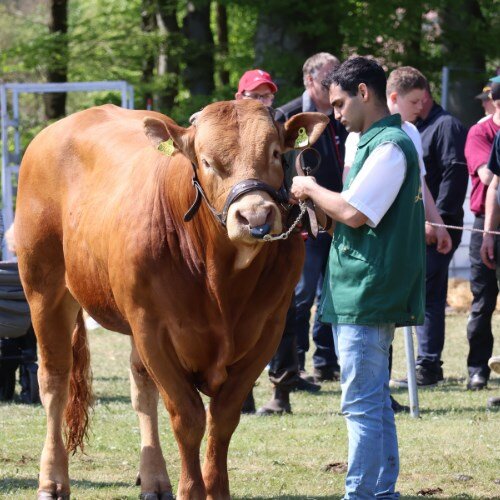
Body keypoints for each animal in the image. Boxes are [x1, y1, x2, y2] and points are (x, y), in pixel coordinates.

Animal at [15, 99, 328, 498]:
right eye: (207, 161)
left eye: (275, 153)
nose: (255, 216)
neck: (221, 282)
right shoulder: (154, 331)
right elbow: (188, 416)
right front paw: (190, 489)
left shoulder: (268, 330)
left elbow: (223, 417)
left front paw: (216, 489)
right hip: (45, 289)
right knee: (55, 380)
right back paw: (53, 480)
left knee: (141, 387)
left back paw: (153, 476)